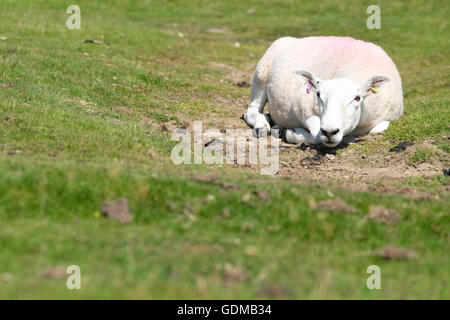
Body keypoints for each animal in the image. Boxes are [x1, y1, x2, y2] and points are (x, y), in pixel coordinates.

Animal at [244, 36, 406, 148]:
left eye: (357, 98)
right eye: (318, 95)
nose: (330, 131)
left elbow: (377, 129)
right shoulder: (303, 107)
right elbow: (317, 137)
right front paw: (291, 133)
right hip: (262, 72)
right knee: (252, 111)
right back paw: (262, 126)